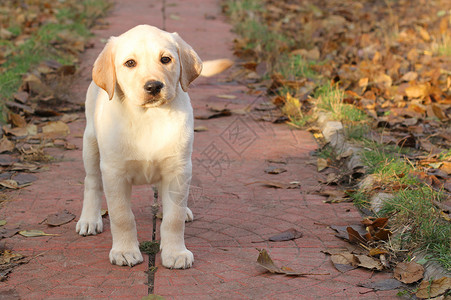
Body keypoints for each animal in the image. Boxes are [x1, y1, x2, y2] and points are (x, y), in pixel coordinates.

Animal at [77, 25, 202, 268]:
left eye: (166, 59)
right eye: (130, 63)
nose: (154, 86)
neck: (149, 117)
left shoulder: (179, 169)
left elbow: (174, 218)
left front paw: (175, 252)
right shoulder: (114, 173)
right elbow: (122, 216)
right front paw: (125, 251)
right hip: (90, 145)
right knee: (92, 182)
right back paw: (89, 219)